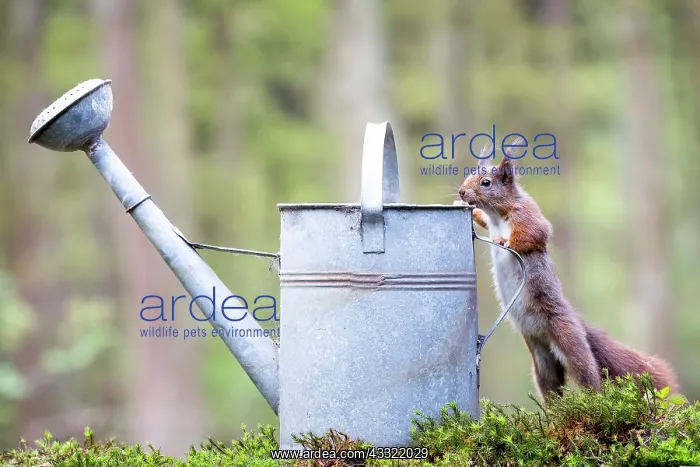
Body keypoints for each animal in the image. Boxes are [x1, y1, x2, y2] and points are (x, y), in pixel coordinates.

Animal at [455, 139, 678, 400]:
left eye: (486, 182)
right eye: (469, 175)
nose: (461, 192)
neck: (497, 215)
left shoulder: (528, 215)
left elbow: (535, 234)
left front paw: (505, 241)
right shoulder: (490, 222)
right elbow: (482, 219)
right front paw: (463, 206)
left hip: (568, 339)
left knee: (588, 374)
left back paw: (594, 403)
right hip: (541, 355)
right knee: (550, 384)